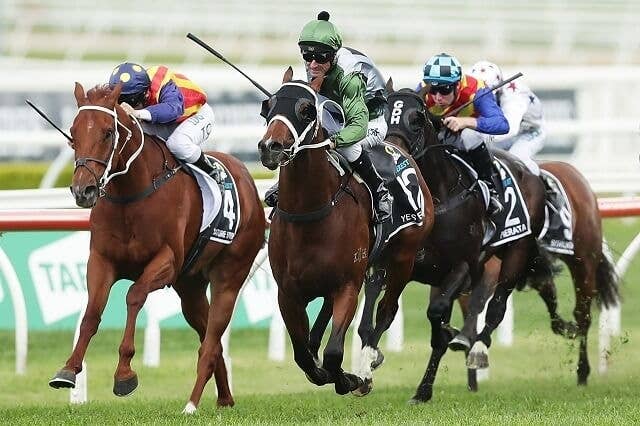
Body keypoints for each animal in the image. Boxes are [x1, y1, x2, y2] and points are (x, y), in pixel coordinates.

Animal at [49, 83, 266, 413]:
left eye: (108, 133)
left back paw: (192, 404)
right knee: (209, 338)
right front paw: (68, 370)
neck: (131, 194)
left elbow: (134, 295)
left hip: (229, 277)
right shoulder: (101, 260)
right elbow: (91, 313)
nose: (83, 190)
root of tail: (248, 180)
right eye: (73, 132)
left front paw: (124, 373)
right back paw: (224, 398)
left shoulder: (166, 262)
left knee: (212, 339)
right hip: (190, 287)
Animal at [257, 68, 433, 395]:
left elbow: (334, 352)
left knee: (386, 311)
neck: (310, 213)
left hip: (403, 257)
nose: (271, 147)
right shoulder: (287, 292)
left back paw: (367, 364)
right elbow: (304, 356)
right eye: (268, 105)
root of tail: (399, 148)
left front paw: (350, 378)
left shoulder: (348, 285)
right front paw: (322, 368)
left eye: (306, 109)